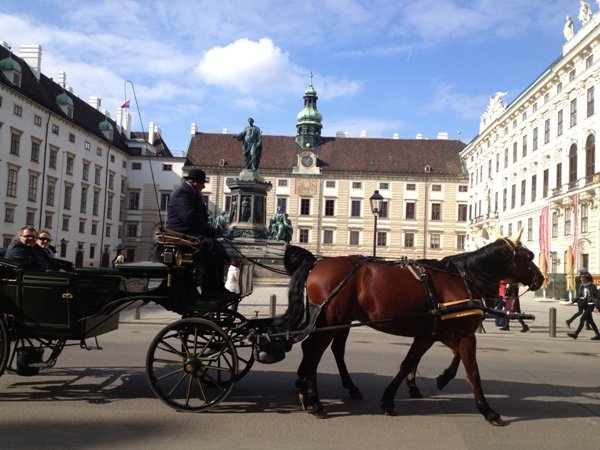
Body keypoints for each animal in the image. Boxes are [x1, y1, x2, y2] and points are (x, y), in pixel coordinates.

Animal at [284, 234, 544, 424]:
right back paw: (314, 401)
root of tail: (317, 262)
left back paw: (313, 393)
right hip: (331, 321)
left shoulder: (432, 333)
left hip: (335, 321)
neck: (460, 278)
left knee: (319, 351)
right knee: (314, 353)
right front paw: (487, 410)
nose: (541, 279)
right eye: (527, 256)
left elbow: (411, 362)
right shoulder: (465, 335)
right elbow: (472, 372)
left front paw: (396, 396)